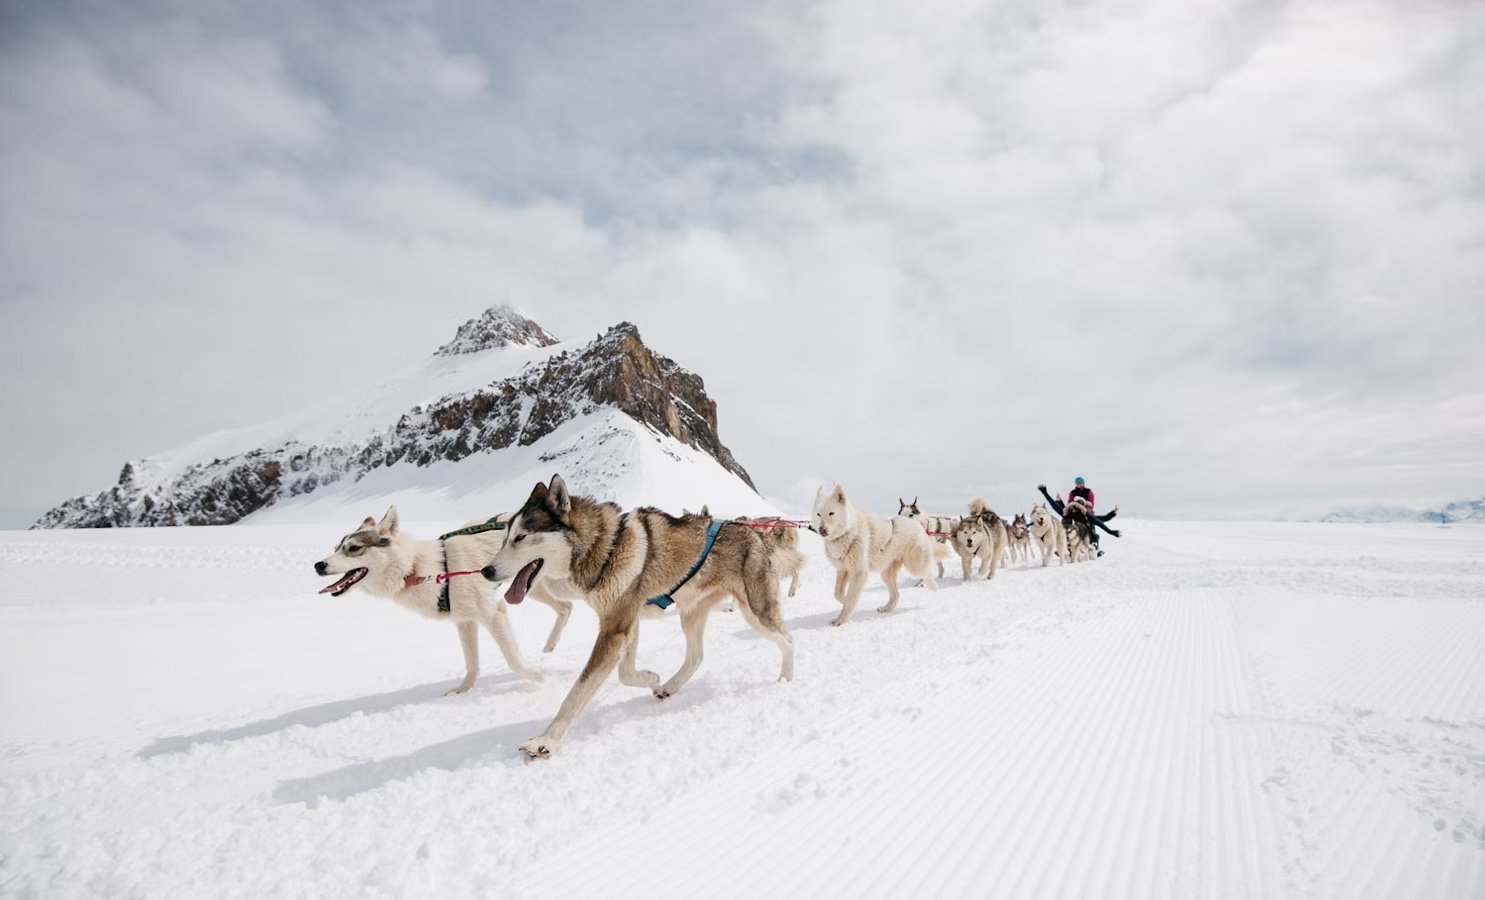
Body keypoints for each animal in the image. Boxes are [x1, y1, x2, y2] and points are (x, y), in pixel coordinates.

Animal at [313, 510, 573, 695]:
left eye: (354, 548)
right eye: (336, 548)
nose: (318, 565)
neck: (420, 568)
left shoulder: (492, 613)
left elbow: (514, 660)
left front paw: (540, 678)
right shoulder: (465, 621)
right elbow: (471, 664)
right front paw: (462, 690)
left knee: (569, 606)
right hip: (528, 587)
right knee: (565, 607)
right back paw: (550, 646)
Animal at [484, 475, 790, 757]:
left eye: (521, 537)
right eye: (504, 539)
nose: (486, 571)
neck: (606, 548)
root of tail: (753, 532)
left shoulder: (615, 629)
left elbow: (577, 693)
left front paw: (546, 740)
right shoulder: (626, 624)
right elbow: (625, 673)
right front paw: (651, 679)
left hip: (757, 612)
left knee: (787, 640)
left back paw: (786, 680)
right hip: (690, 614)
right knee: (696, 657)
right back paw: (670, 686)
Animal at [813, 487, 938, 626]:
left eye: (831, 513)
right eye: (818, 514)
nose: (822, 529)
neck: (849, 532)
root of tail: (915, 522)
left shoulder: (858, 572)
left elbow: (850, 598)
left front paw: (840, 620)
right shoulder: (843, 570)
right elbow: (837, 593)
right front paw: (845, 599)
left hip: (915, 565)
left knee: (926, 573)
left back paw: (933, 586)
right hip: (886, 573)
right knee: (896, 594)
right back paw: (887, 608)